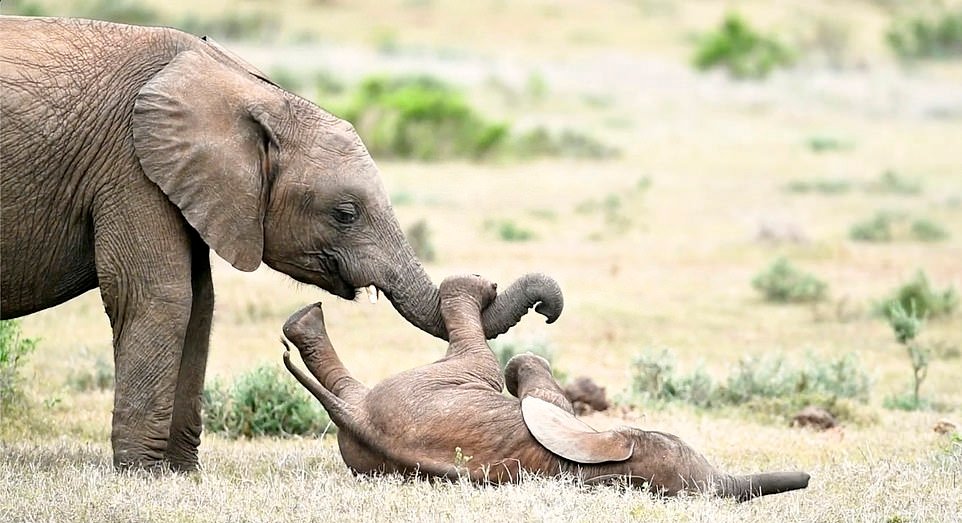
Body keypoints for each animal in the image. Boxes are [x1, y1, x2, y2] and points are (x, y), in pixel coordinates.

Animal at [280, 276, 808, 502]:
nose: (804, 478)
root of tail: (356, 419)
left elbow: (529, 372)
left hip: (437, 385)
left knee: (476, 356)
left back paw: (304, 322)